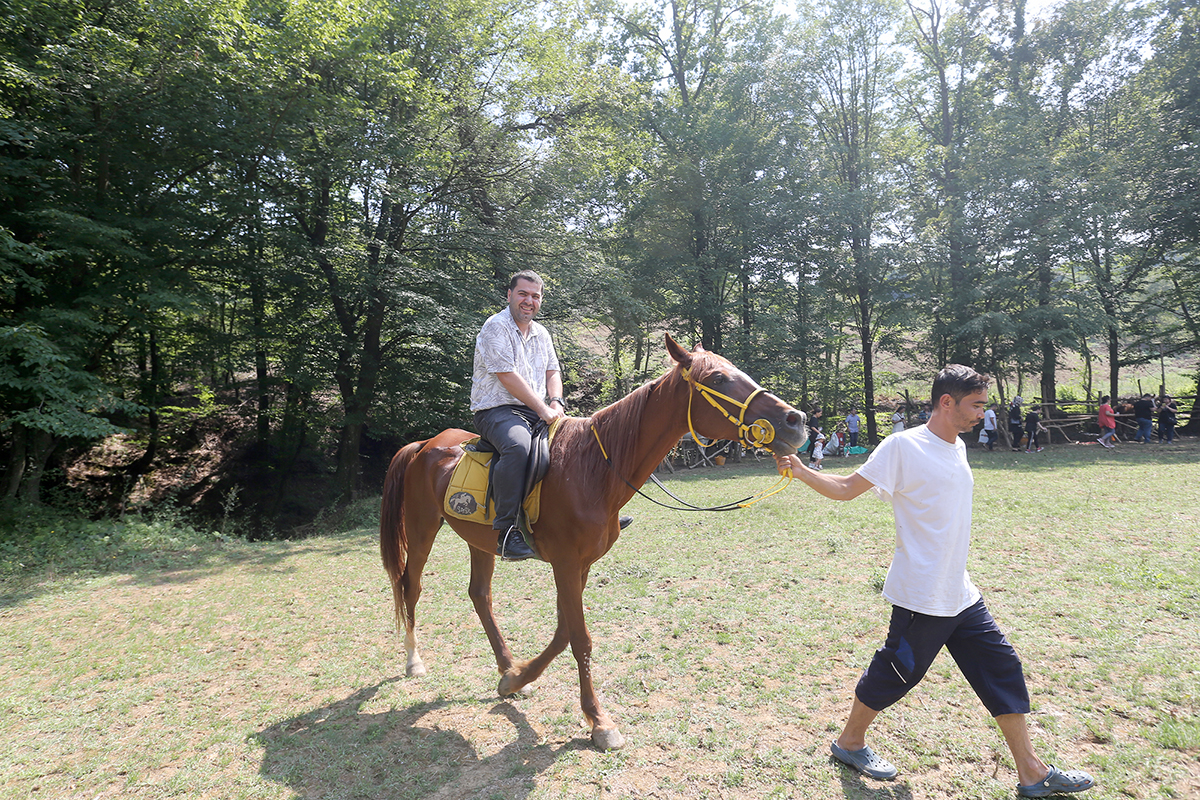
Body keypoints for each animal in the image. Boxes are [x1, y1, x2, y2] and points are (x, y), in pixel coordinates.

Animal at [376, 335, 806, 753]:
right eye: (717, 378)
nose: (796, 420)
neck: (593, 469)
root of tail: (424, 444)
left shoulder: (581, 564)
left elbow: (565, 632)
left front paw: (517, 678)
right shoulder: (565, 563)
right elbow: (580, 639)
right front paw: (599, 722)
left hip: (479, 542)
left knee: (480, 595)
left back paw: (507, 667)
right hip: (421, 528)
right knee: (411, 586)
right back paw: (414, 661)